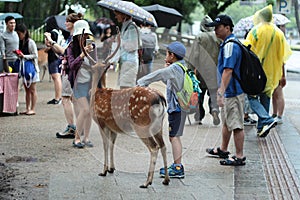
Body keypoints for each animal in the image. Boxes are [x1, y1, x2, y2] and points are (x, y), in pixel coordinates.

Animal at [81, 29, 170, 188]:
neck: (98, 91)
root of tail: (160, 98)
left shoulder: (102, 121)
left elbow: (105, 145)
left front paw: (103, 171)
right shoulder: (113, 126)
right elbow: (112, 145)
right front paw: (111, 168)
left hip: (142, 124)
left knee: (154, 147)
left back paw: (147, 182)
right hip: (159, 125)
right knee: (163, 145)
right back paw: (166, 179)